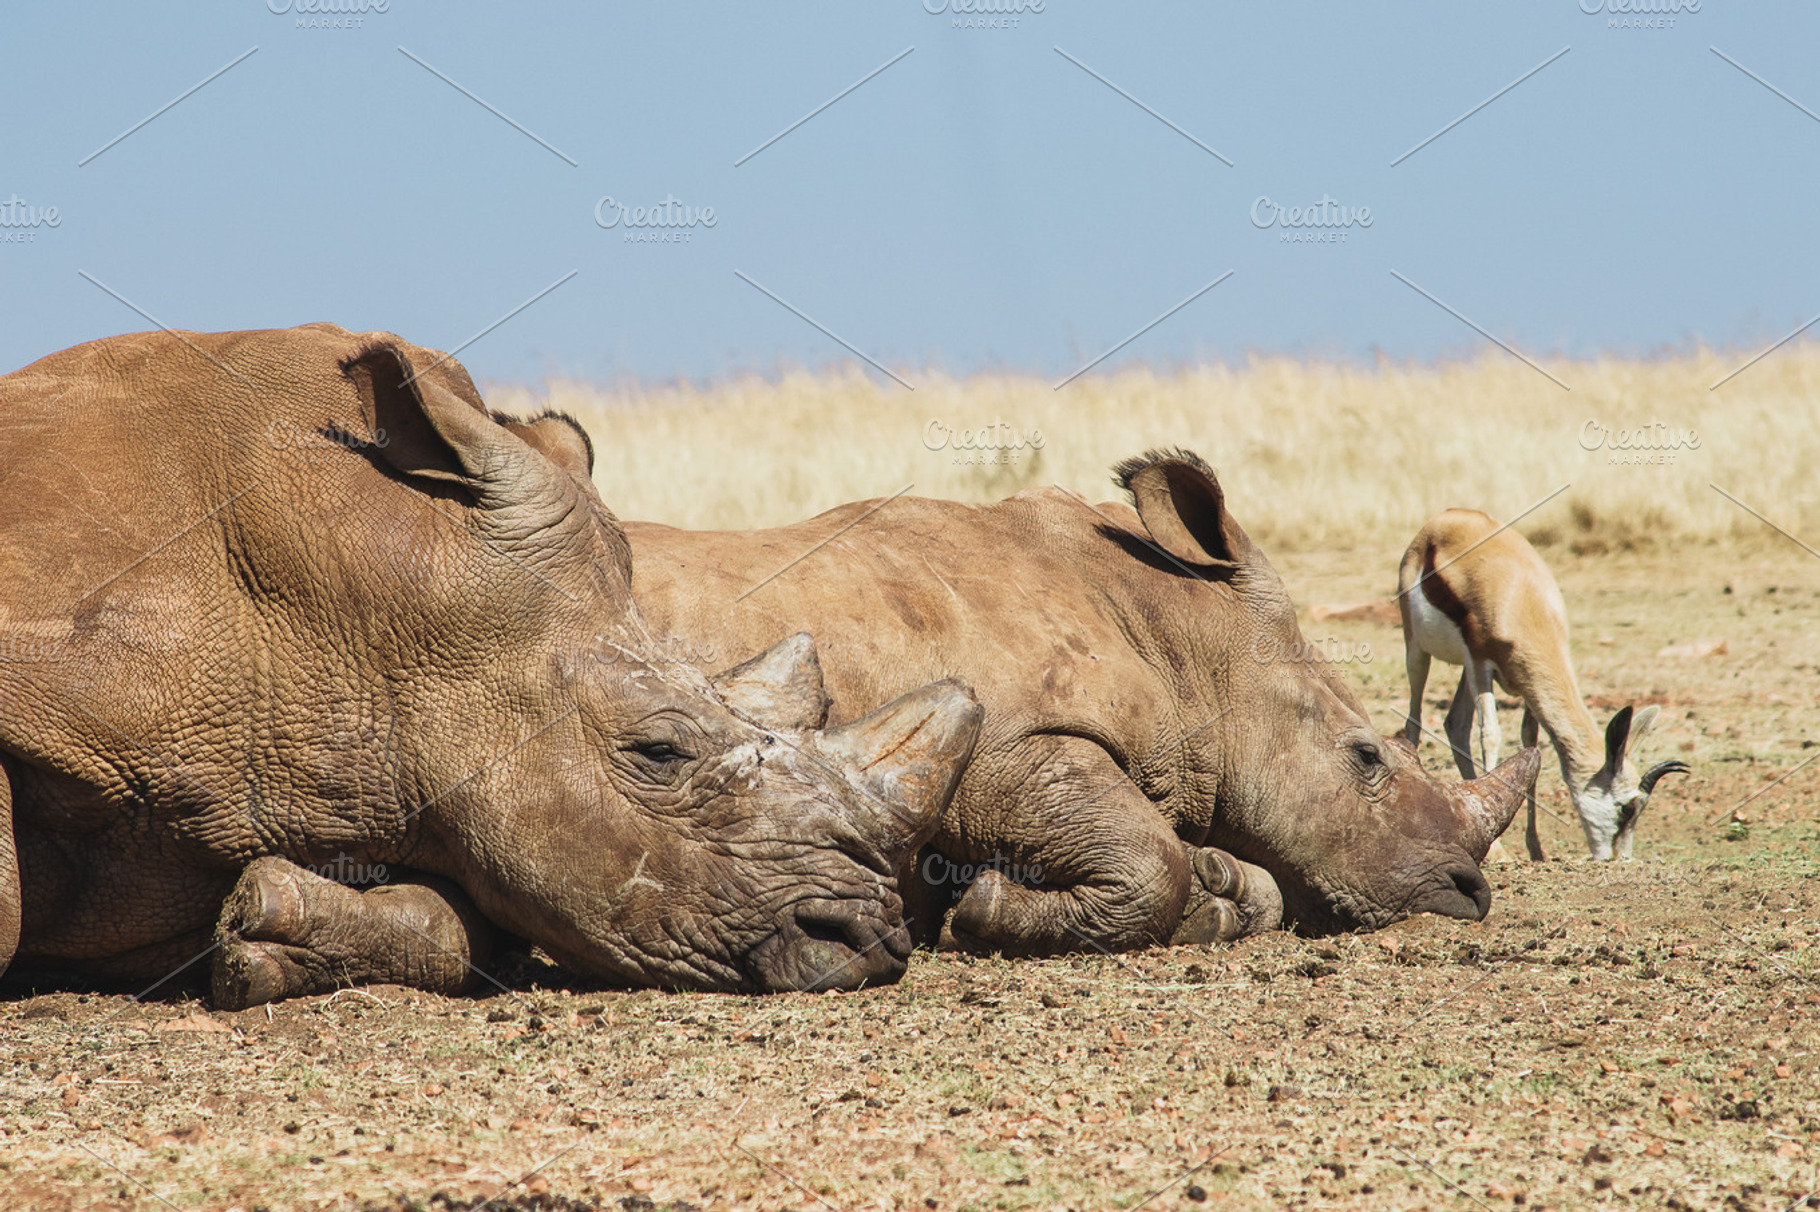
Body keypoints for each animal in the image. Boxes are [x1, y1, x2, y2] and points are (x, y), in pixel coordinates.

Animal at [564, 448, 1538, 951]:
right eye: (1365, 758)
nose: (1469, 893)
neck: (1192, 643)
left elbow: (1233, 876)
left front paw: (1221, 892)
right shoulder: (1006, 744)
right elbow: (1148, 859)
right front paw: (979, 912)